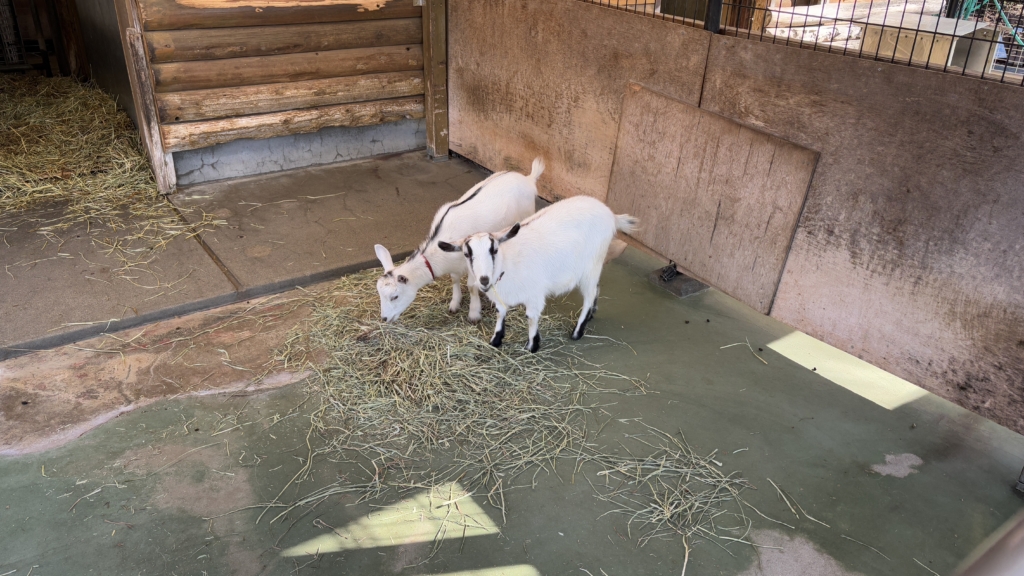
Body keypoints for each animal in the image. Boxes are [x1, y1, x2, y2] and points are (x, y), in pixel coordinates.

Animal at [375, 157, 544, 323]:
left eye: (394, 296)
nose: (384, 318)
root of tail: (528, 179)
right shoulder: (454, 264)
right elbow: (454, 279)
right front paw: (454, 304)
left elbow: (472, 286)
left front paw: (474, 313)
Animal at [438, 195, 638, 353]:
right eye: (467, 254)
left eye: (494, 250)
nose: (484, 279)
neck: (507, 263)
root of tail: (611, 215)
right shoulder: (501, 297)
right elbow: (500, 313)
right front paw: (496, 340)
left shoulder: (534, 295)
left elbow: (531, 317)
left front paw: (532, 346)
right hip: (595, 267)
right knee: (596, 289)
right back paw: (591, 315)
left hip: (591, 266)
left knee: (588, 296)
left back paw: (577, 332)